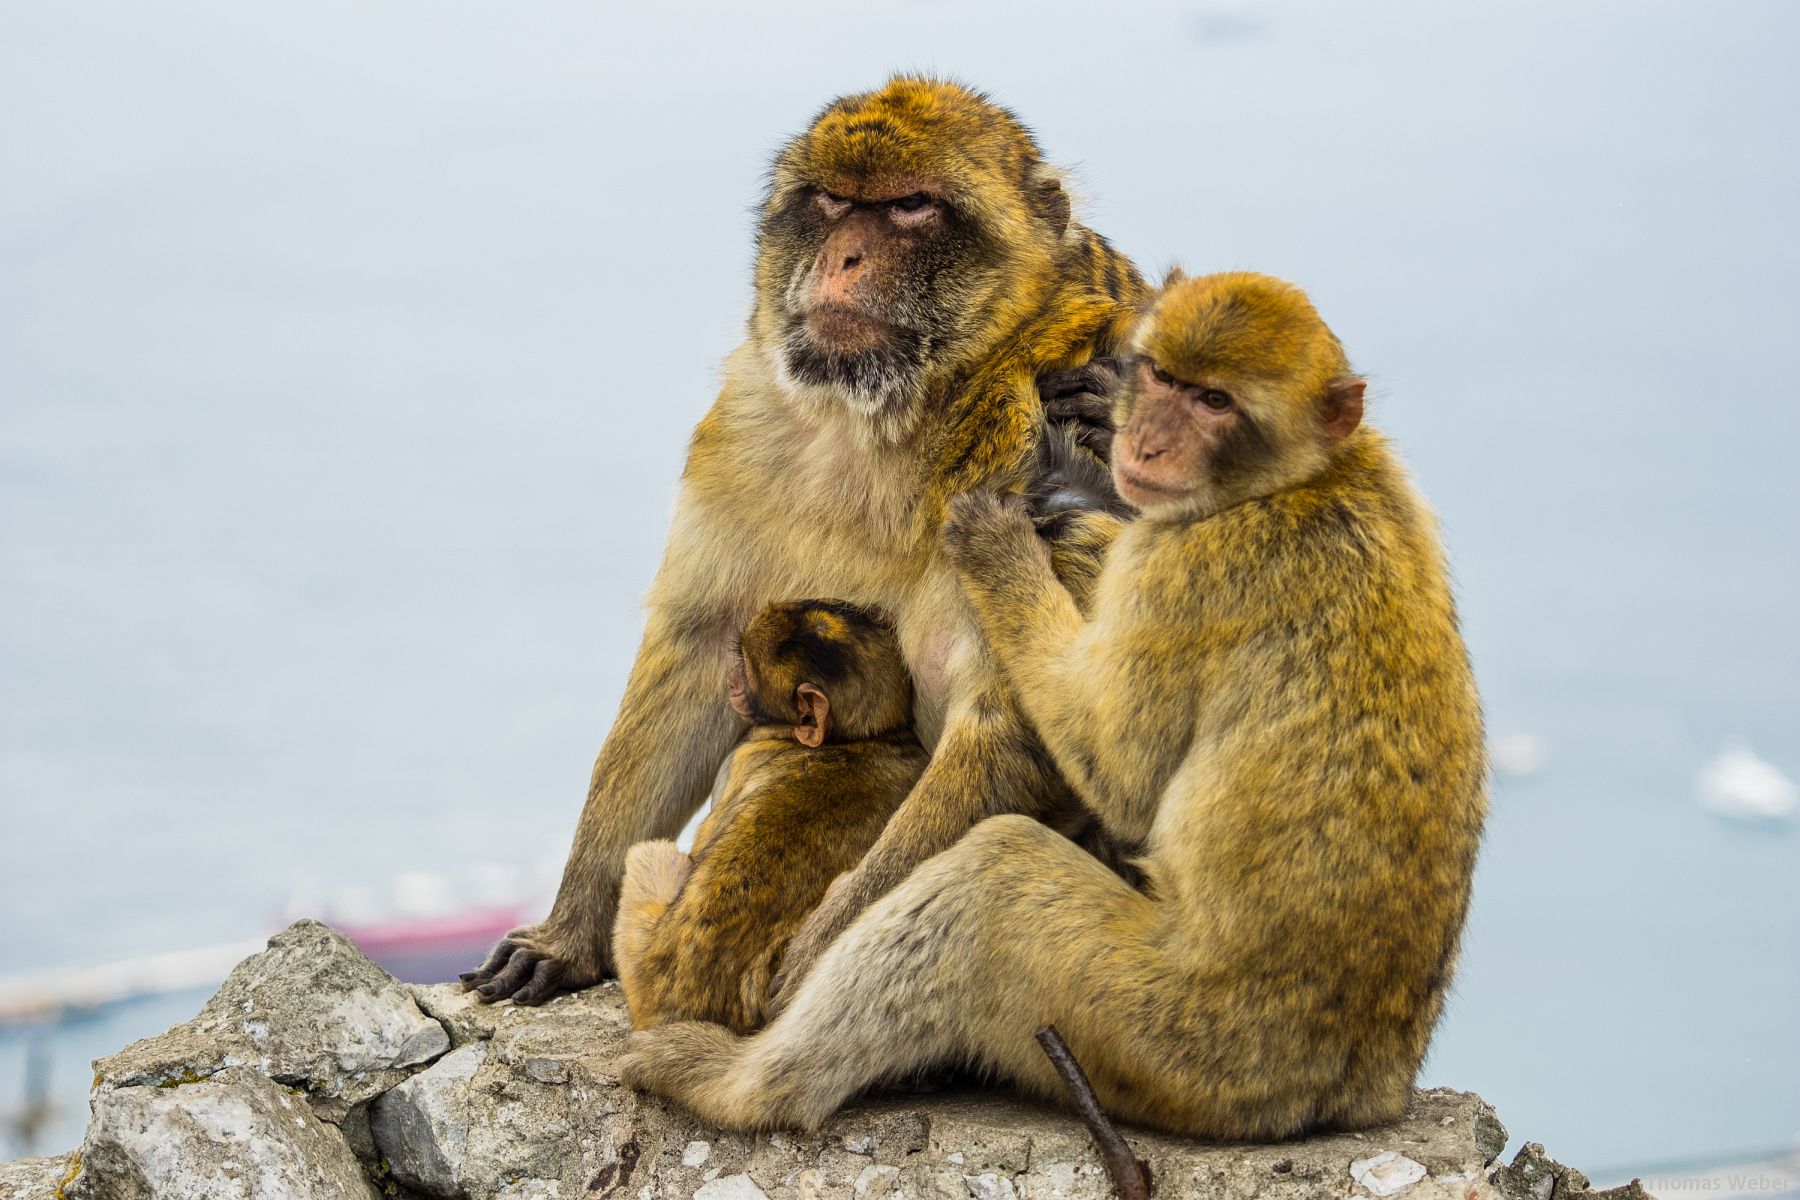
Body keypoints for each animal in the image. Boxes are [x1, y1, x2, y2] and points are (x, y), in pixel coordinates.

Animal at [619, 600, 928, 1036]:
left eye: (746, 666)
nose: (731, 679)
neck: (860, 738)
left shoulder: (739, 757)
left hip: (642, 961)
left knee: (650, 855)